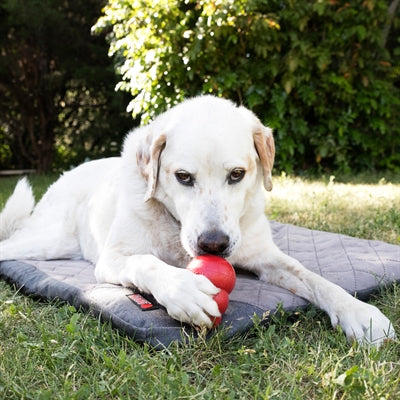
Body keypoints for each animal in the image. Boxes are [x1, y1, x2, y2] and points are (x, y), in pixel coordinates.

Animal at [0, 95, 394, 346]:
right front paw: (184, 290)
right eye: (183, 177)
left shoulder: (267, 257)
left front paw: (360, 313)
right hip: (47, 241)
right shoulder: (114, 257)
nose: (214, 244)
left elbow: (316, 279)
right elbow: (148, 263)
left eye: (237, 174)